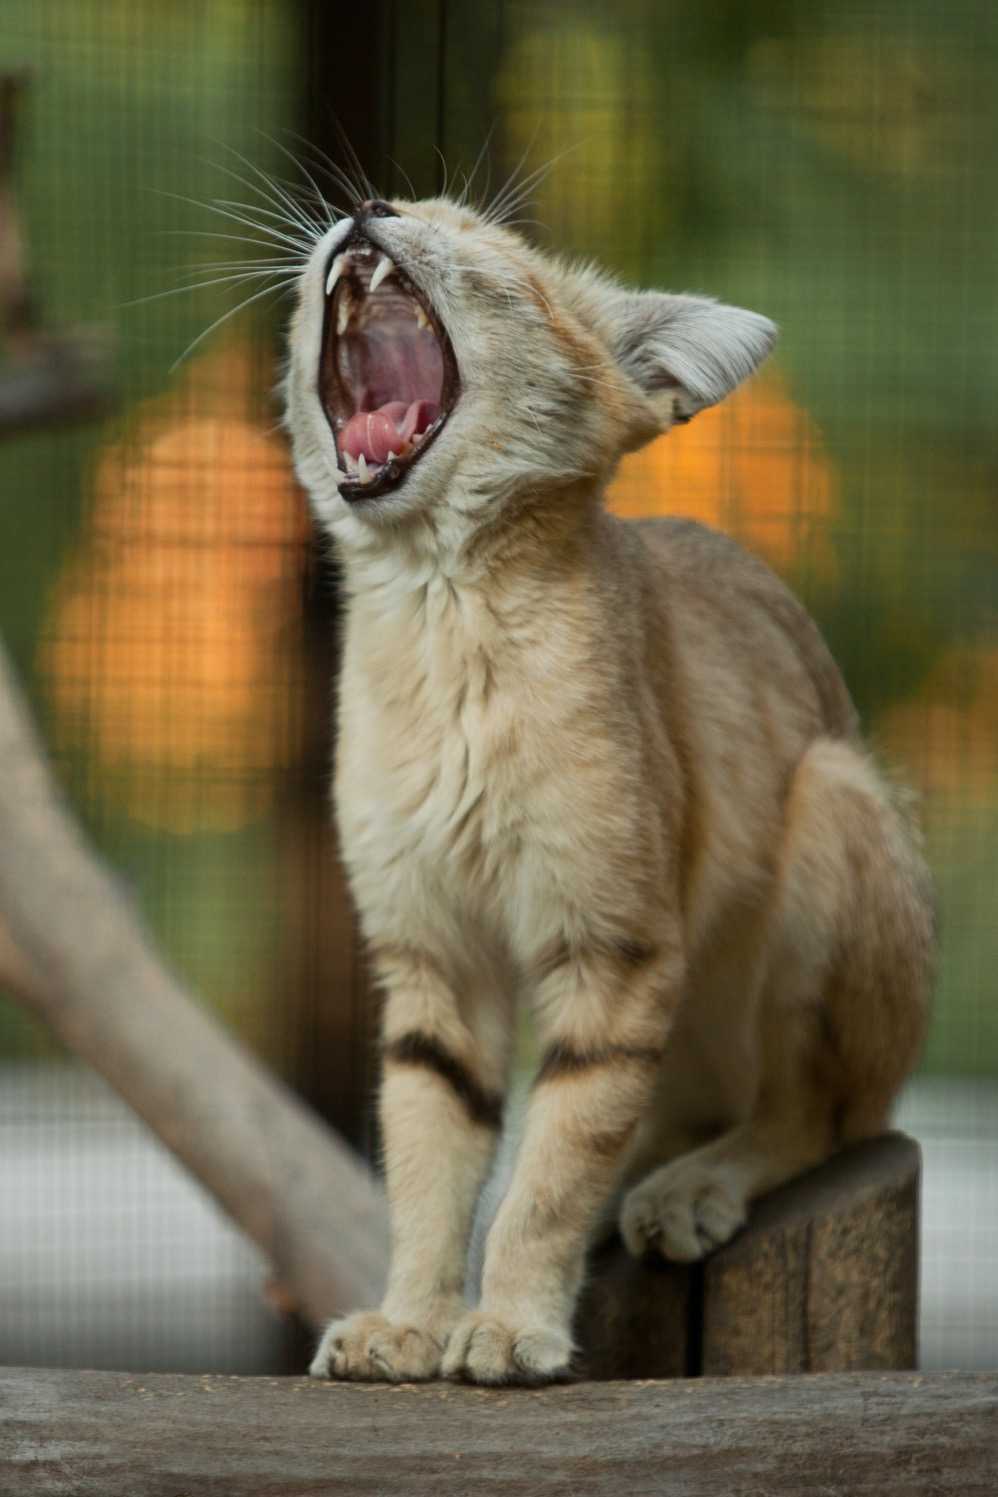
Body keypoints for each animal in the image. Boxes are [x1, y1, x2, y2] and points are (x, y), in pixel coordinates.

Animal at [282, 193, 939, 1383]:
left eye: (487, 250)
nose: (370, 208)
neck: (442, 611)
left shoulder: (611, 951)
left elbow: (553, 1160)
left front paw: (509, 1321)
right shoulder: (433, 960)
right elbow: (430, 1152)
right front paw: (412, 1317)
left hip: (832, 796)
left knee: (825, 1115)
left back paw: (692, 1184)